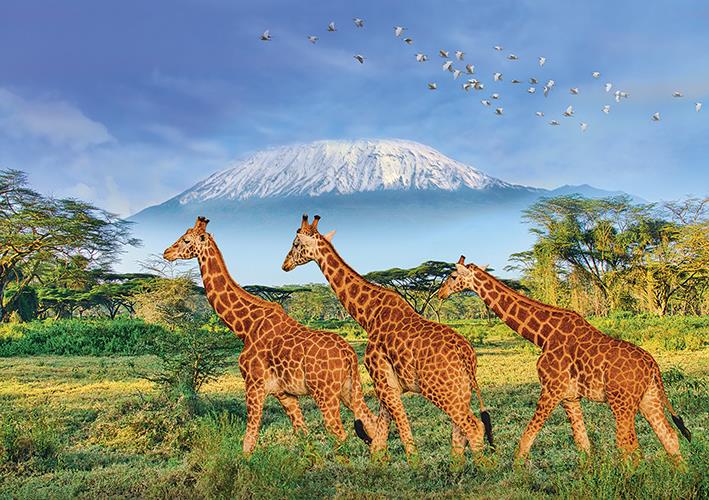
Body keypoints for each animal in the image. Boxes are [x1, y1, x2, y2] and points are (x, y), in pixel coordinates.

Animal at [163, 217, 378, 455]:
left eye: (186, 239)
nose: (166, 252)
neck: (245, 327)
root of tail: (349, 354)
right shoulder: (285, 394)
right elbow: (302, 434)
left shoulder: (254, 384)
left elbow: (249, 441)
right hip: (351, 388)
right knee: (372, 422)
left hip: (325, 393)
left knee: (340, 433)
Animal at [281, 215, 493, 464]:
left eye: (295, 243)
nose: (284, 264)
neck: (368, 315)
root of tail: (466, 354)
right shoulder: (387, 385)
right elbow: (379, 443)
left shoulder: (383, 383)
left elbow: (404, 438)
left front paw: (414, 466)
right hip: (460, 388)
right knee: (461, 431)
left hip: (439, 389)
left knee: (474, 427)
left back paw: (484, 468)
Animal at [438, 255, 692, 463]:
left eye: (452, 276)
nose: (440, 293)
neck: (542, 335)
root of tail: (653, 367)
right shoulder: (570, 397)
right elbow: (583, 444)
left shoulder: (552, 388)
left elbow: (526, 438)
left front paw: (517, 473)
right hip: (649, 397)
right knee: (669, 436)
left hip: (622, 402)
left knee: (629, 445)